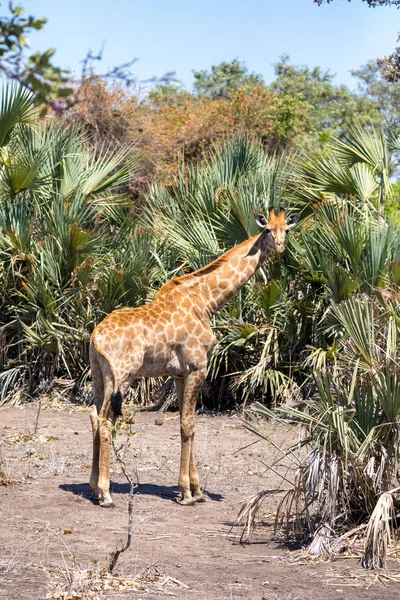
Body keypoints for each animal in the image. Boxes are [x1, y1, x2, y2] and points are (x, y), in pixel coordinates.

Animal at [88, 206, 300, 506]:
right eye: (268, 229)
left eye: (287, 230)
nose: (280, 248)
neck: (206, 301)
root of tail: (96, 337)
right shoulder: (198, 366)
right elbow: (189, 425)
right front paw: (188, 494)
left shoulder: (179, 372)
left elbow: (183, 424)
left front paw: (195, 490)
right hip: (123, 375)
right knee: (106, 420)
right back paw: (106, 494)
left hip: (98, 374)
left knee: (94, 416)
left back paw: (94, 488)